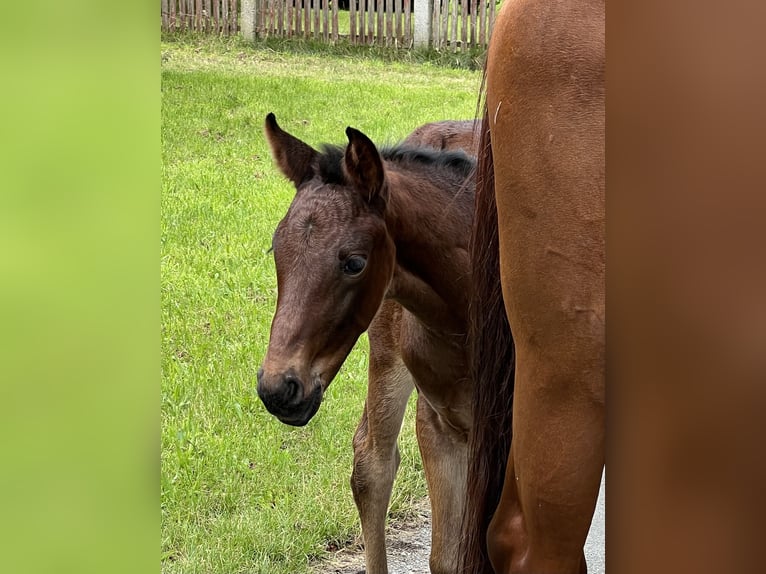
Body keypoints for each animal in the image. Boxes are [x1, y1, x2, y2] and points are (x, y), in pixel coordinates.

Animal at [258, 113, 474, 574]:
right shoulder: (443, 420)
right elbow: (450, 558)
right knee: (372, 462)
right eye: (275, 249)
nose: (278, 388)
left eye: (355, 262)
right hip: (389, 352)